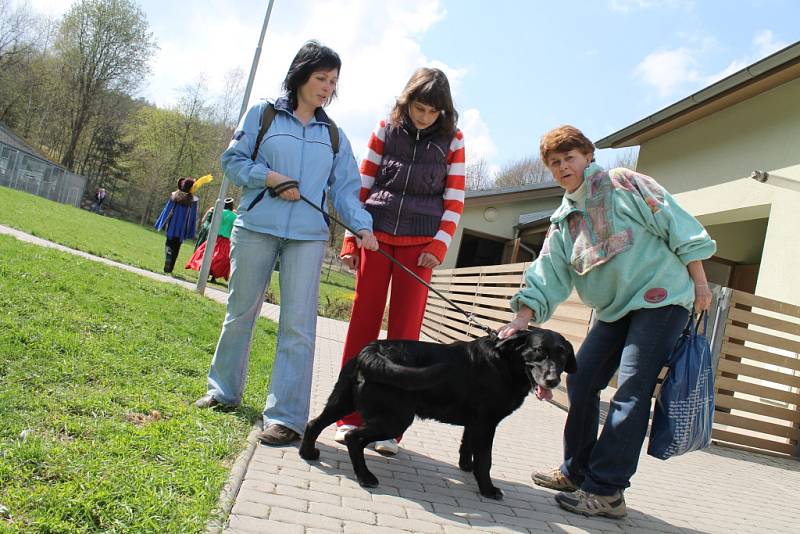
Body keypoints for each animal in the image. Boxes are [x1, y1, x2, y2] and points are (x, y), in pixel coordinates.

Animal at [298, 328, 576, 500]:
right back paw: (365, 476)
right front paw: (487, 489)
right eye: (539, 352)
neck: (505, 362)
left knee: (314, 423)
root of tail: (374, 348)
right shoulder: (486, 423)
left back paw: (307, 453)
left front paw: (466, 468)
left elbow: (467, 448)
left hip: (342, 401)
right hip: (396, 418)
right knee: (353, 438)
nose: (552, 380)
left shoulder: (474, 423)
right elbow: (485, 460)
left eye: (562, 355)